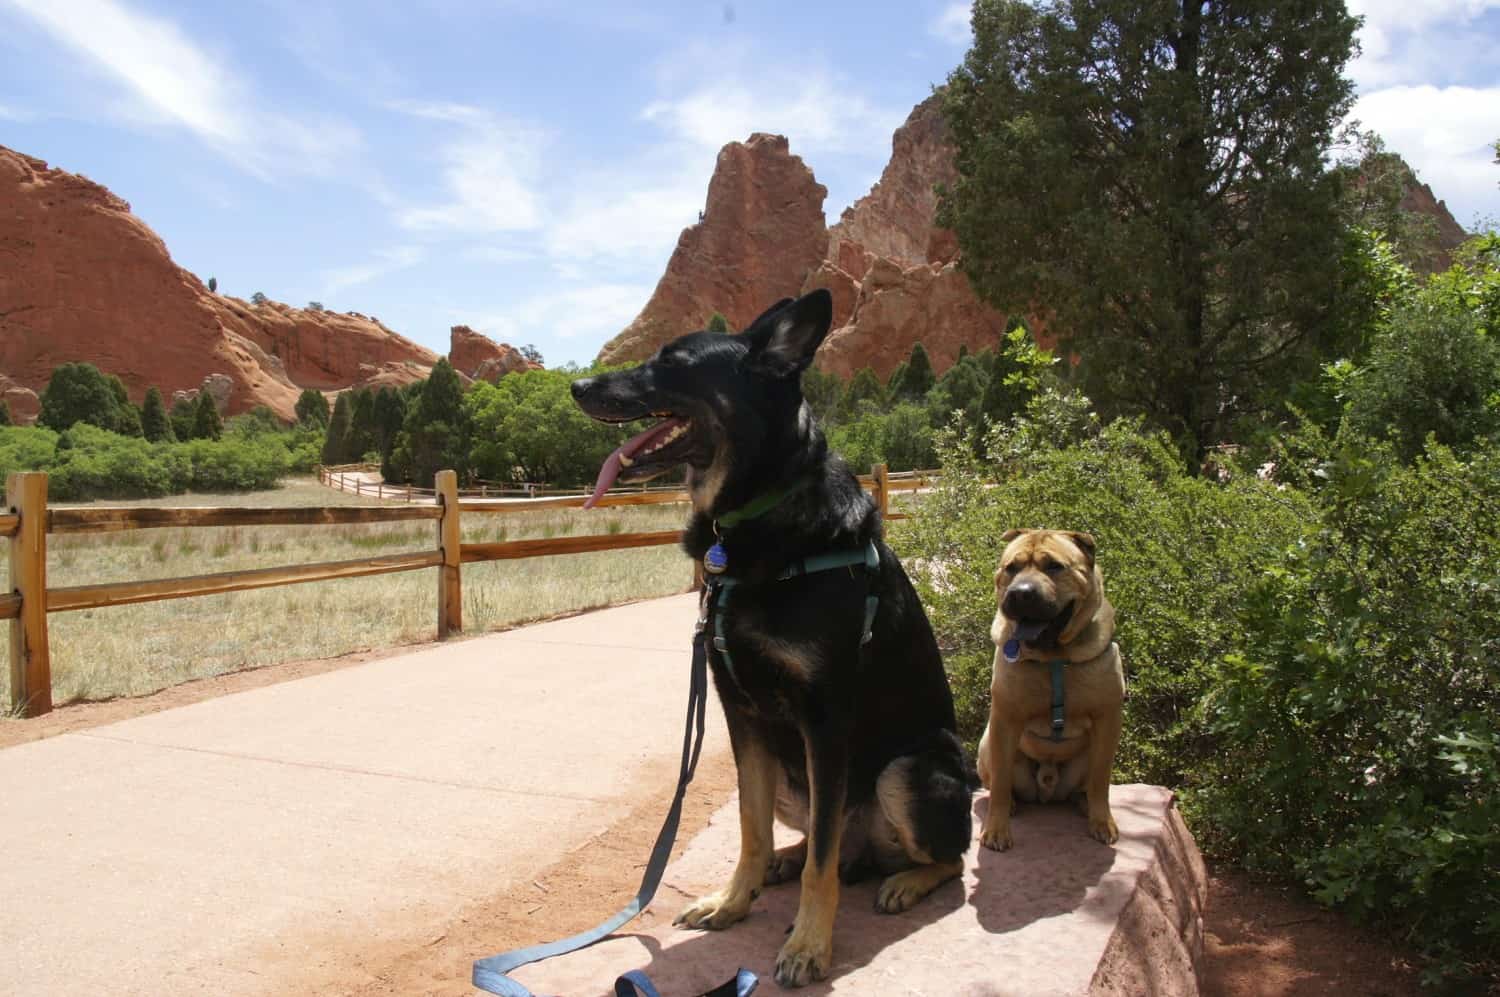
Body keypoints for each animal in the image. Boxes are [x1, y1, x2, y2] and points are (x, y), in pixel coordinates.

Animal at [564, 289, 972, 989]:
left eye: (672, 362)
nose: (576, 385)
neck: (753, 514)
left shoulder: (826, 719)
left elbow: (820, 873)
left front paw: (809, 944)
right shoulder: (743, 716)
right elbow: (751, 829)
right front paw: (735, 900)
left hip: (905, 771)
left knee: (939, 858)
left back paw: (905, 882)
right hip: (791, 771)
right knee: (824, 840)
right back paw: (791, 859)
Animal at [972, 527, 1128, 845]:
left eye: (1054, 566)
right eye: (1012, 567)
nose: (1021, 593)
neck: (1054, 656)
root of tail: (1048, 787)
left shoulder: (1108, 718)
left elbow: (1101, 779)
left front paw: (1102, 821)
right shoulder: (1004, 719)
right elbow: (1002, 781)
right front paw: (996, 829)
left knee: (1088, 783)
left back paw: (1083, 802)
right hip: (986, 746)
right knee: (999, 785)